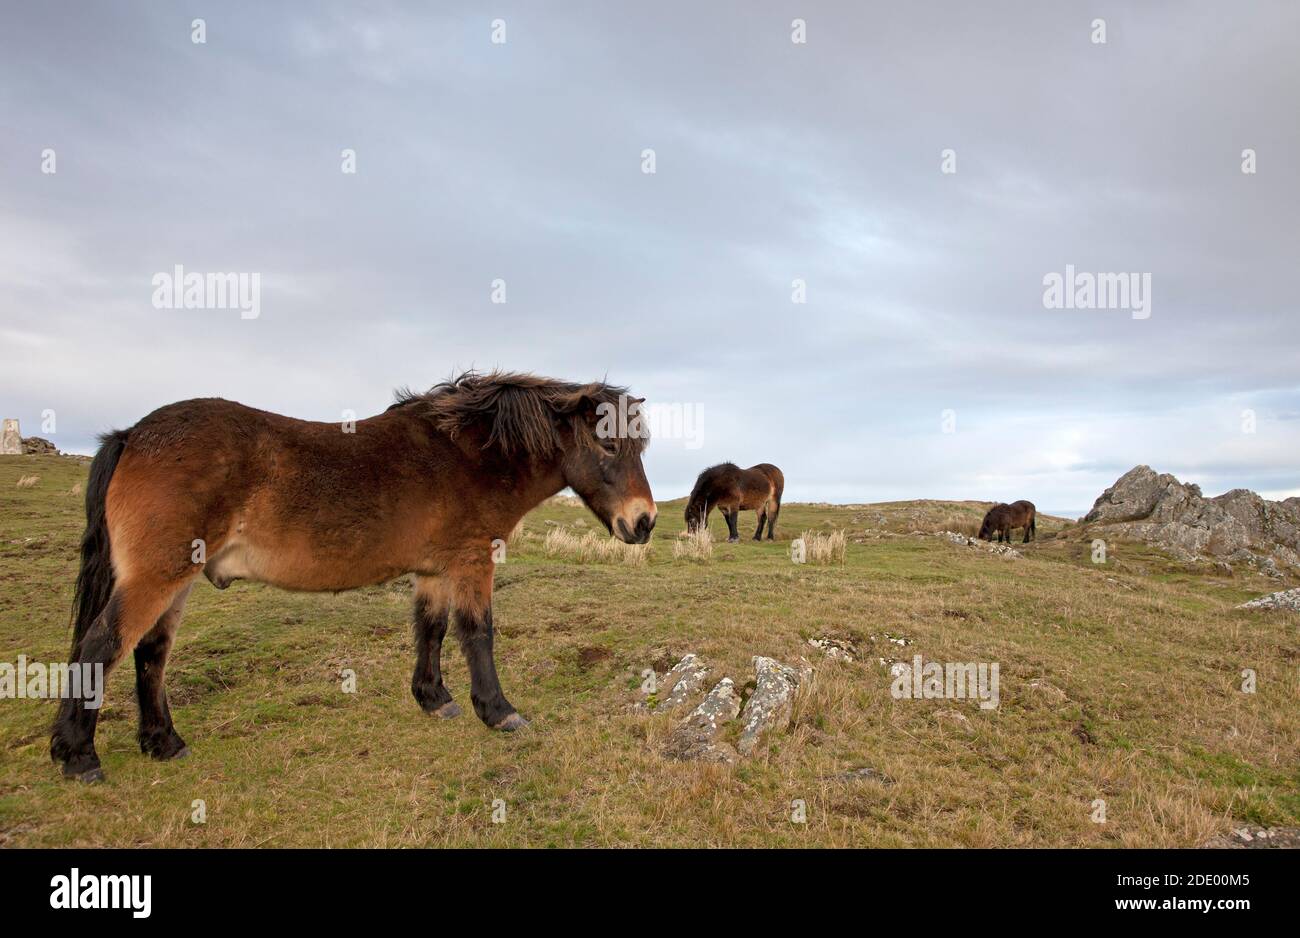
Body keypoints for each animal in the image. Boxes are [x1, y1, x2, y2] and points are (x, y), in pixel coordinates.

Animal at [54, 368, 655, 779]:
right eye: (608, 443)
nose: (644, 521)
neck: (467, 455)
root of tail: (132, 434)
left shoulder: (434, 571)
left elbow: (431, 629)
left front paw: (434, 699)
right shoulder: (472, 563)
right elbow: (477, 634)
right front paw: (499, 712)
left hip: (174, 582)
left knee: (150, 655)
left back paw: (163, 742)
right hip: (157, 576)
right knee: (101, 646)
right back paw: (78, 756)